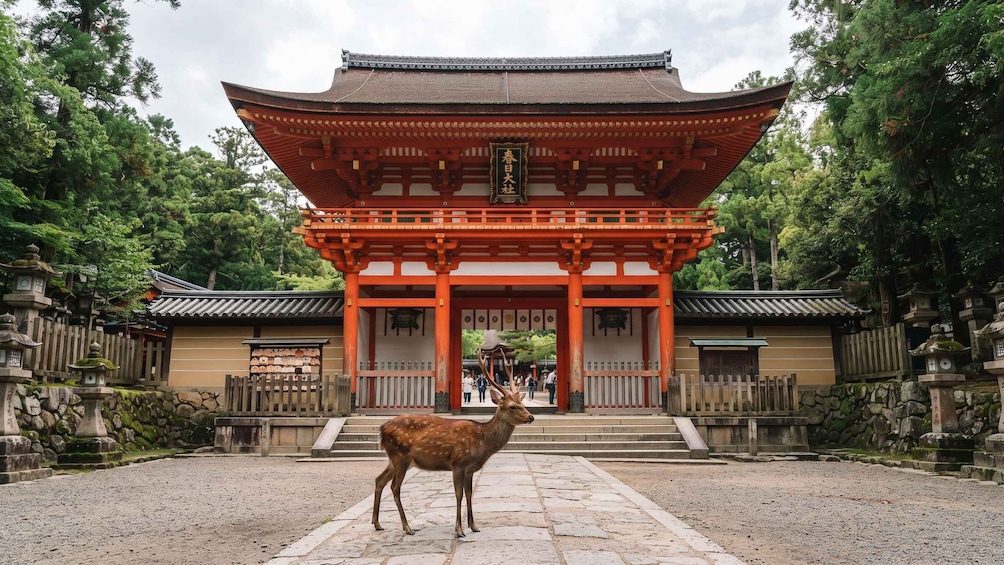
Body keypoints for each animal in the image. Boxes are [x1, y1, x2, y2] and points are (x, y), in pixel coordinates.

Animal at [371, 346, 534, 538]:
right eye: (512, 406)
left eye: (522, 403)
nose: (531, 417)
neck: (481, 444)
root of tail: (382, 429)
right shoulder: (458, 463)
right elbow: (458, 495)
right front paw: (459, 530)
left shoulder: (470, 469)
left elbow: (470, 494)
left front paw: (474, 526)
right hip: (400, 456)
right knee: (394, 487)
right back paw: (407, 527)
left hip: (396, 459)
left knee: (379, 480)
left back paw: (377, 523)